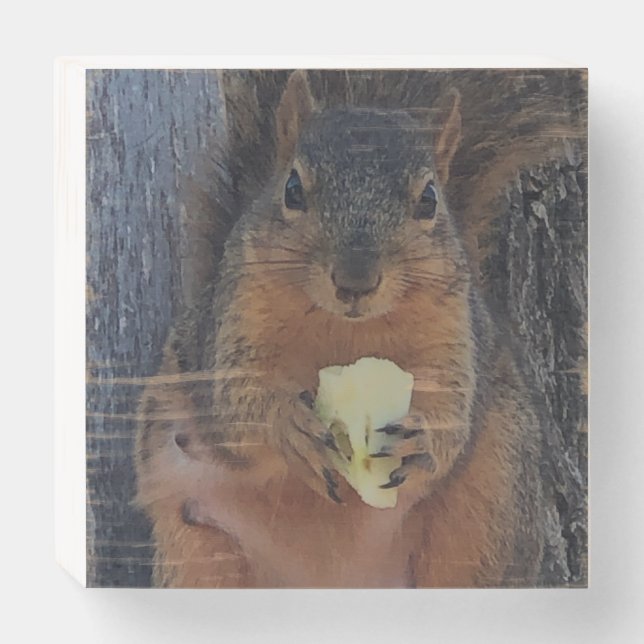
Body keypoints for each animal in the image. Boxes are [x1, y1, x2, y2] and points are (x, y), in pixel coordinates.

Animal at [135, 70, 546, 588]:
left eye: (429, 199)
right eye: (292, 189)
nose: (355, 281)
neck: (347, 333)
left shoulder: (453, 332)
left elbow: (452, 404)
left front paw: (424, 437)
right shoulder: (234, 322)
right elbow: (236, 400)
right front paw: (288, 425)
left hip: (487, 510)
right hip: (196, 547)